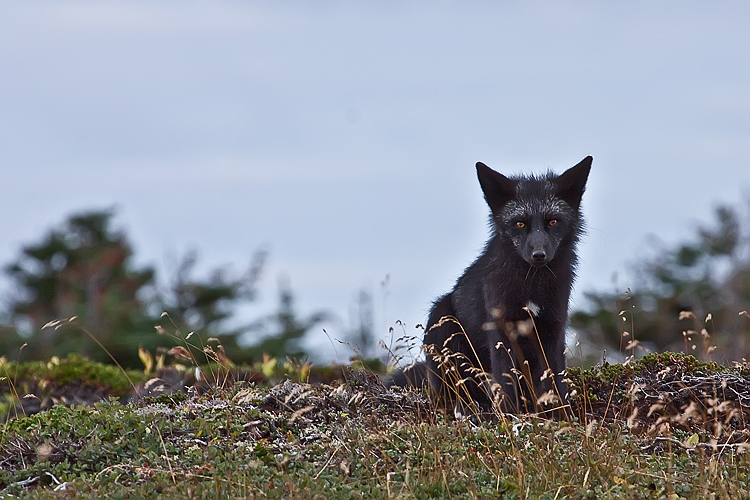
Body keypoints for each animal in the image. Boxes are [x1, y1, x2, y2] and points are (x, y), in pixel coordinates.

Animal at [394, 157, 592, 418]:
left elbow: (556, 380)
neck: (531, 285)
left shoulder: (553, 329)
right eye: (520, 224)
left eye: (553, 221)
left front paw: (561, 418)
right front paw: (509, 418)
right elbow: (506, 381)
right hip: (443, 322)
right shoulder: (501, 331)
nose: (539, 255)